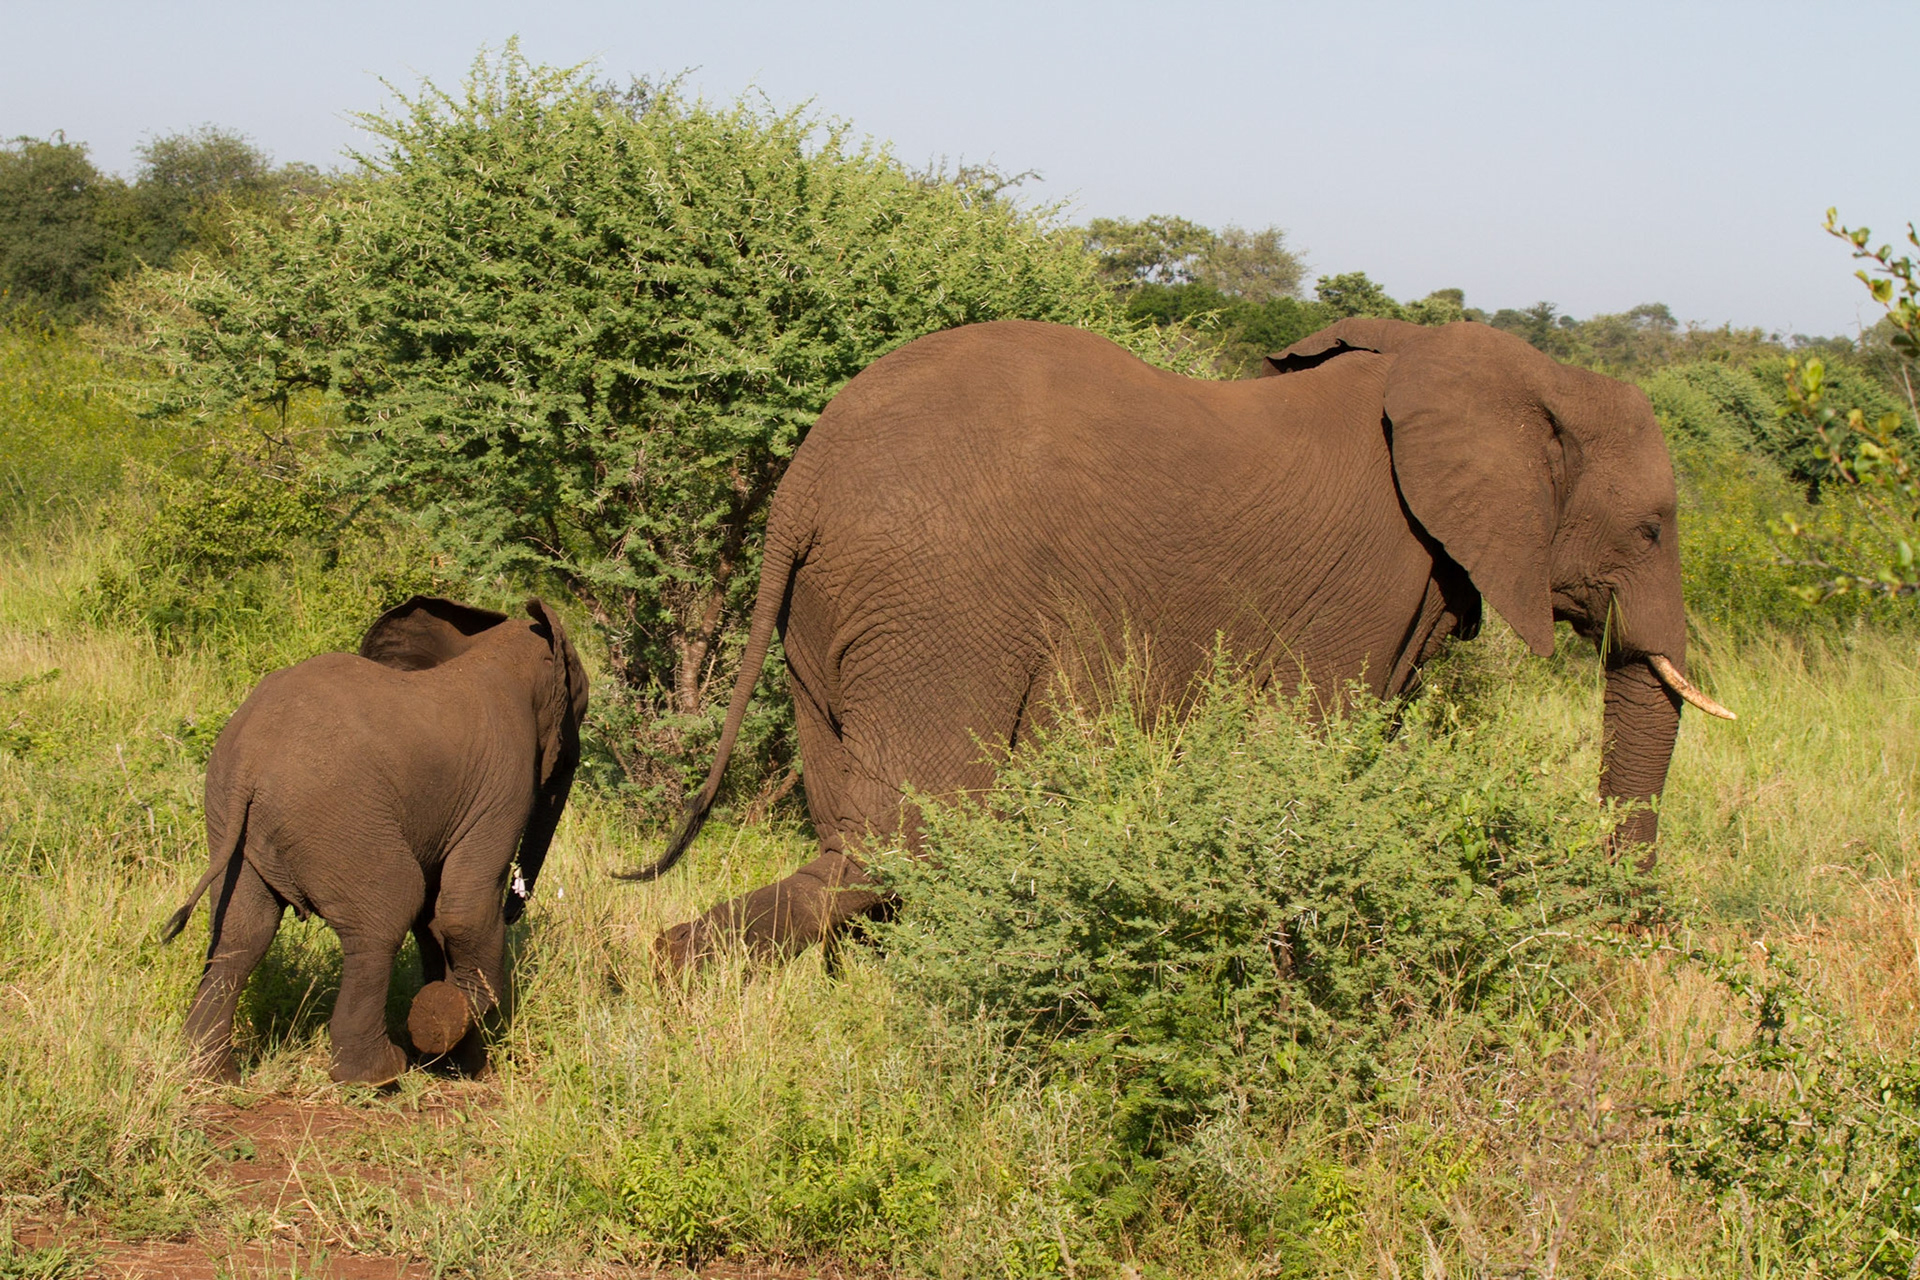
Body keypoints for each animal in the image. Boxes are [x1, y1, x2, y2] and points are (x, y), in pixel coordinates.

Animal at [162, 596, 589, 1085]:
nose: (516, 907)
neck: (493, 646)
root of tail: (250, 764)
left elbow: (435, 918)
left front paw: (452, 1058)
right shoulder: (503, 783)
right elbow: (461, 910)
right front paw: (443, 1026)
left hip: (231, 822)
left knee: (241, 932)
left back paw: (210, 1074)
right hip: (338, 817)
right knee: (387, 910)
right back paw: (377, 1075)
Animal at [621, 318, 1734, 969]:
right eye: (1652, 531)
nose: (1636, 937)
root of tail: (802, 484)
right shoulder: (1374, 575)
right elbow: (1318, 753)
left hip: (840, 612)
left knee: (848, 821)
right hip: (935, 597)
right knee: (898, 839)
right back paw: (658, 968)